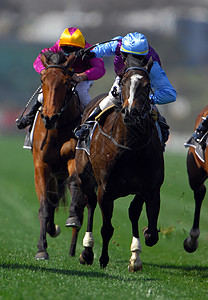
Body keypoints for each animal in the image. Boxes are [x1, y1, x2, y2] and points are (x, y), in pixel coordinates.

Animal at [31, 50, 83, 258]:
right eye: (42, 79)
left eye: (67, 82)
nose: (49, 117)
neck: (57, 128)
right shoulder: (42, 166)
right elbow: (45, 205)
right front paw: (41, 249)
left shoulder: (72, 160)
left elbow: (74, 183)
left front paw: (72, 217)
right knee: (52, 199)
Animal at [75, 54, 164, 272]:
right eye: (123, 83)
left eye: (147, 85)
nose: (131, 112)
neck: (130, 146)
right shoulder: (105, 190)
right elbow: (107, 228)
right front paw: (102, 258)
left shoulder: (150, 187)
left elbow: (146, 225)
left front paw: (136, 256)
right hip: (84, 178)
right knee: (90, 204)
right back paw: (87, 251)